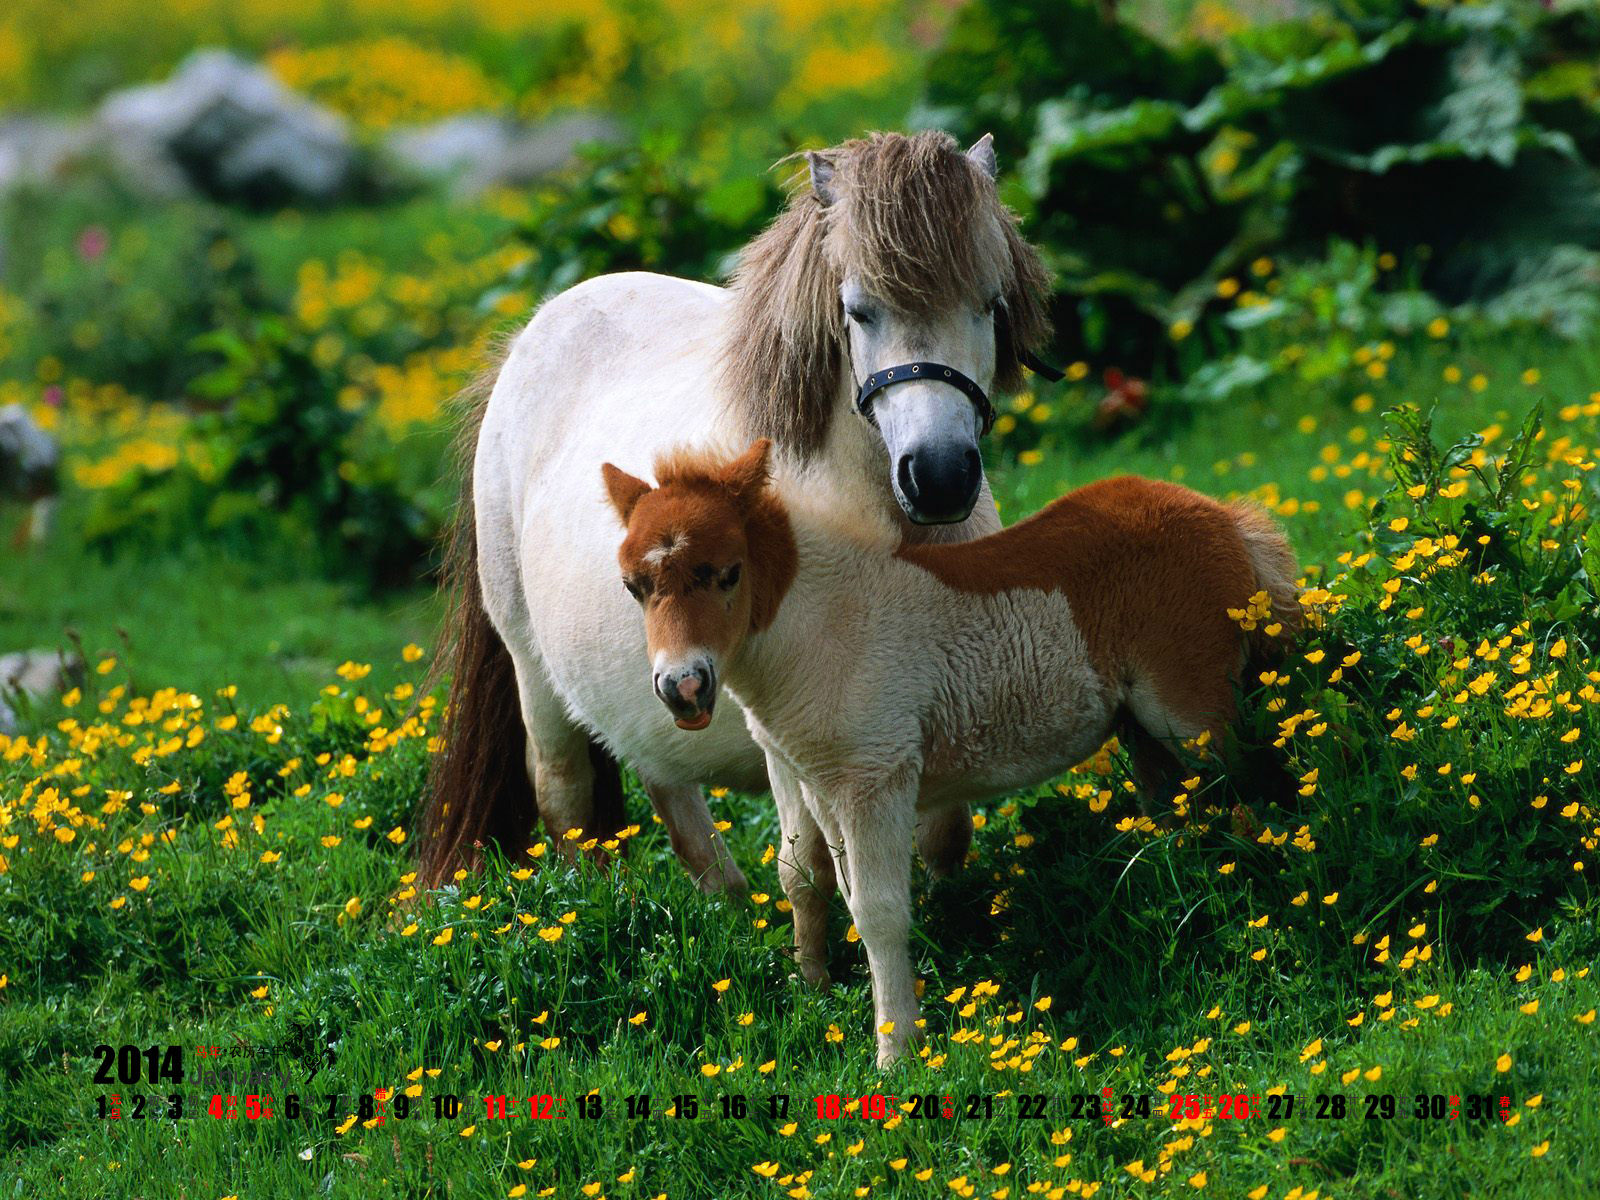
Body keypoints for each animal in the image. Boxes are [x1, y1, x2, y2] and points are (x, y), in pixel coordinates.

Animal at [414, 131, 1054, 893]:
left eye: (989, 304)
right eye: (859, 310)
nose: (939, 476)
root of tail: (526, 341)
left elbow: (944, 835)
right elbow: (821, 862)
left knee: (663, 778)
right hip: (532, 669)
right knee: (565, 792)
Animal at [603, 439, 1301, 1065]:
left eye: (728, 573)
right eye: (633, 586)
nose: (683, 688)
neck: (822, 626)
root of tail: (1222, 515)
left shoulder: (876, 779)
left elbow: (880, 912)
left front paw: (897, 1053)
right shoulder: (820, 785)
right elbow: (828, 888)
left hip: (1192, 714)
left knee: (1261, 784)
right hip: (1143, 728)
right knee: (1180, 807)